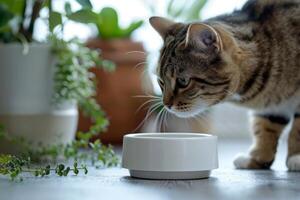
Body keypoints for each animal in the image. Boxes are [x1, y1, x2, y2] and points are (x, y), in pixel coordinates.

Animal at [150, 0, 300, 171]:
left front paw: (296, 157)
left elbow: (297, 129)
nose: (166, 104)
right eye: (161, 81)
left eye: (183, 81)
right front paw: (256, 159)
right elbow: (265, 128)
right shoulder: (270, 108)